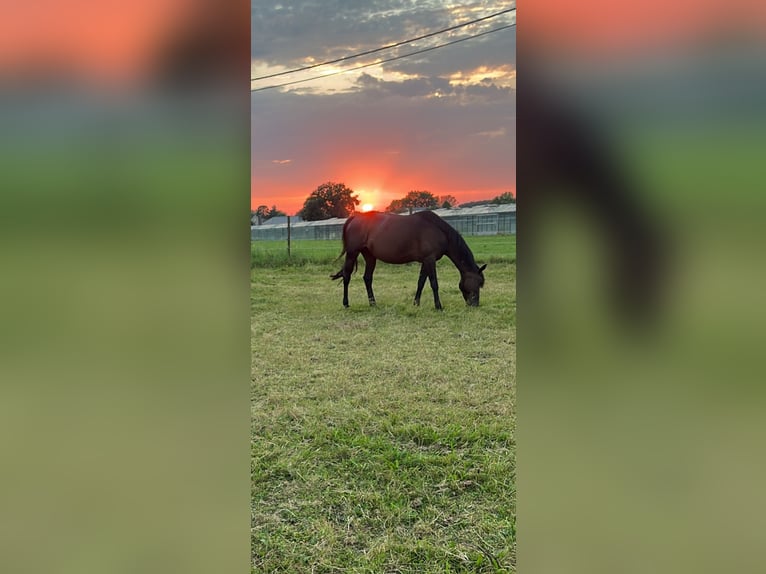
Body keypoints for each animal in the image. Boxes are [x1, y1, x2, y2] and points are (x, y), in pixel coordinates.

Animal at [328, 210, 486, 310]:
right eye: (478, 282)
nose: (474, 304)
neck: (438, 231)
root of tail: (355, 217)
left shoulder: (426, 261)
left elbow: (421, 282)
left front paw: (416, 303)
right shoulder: (430, 260)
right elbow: (434, 283)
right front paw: (438, 306)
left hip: (370, 256)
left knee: (367, 278)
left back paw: (373, 303)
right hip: (352, 253)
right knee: (347, 276)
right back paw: (346, 303)